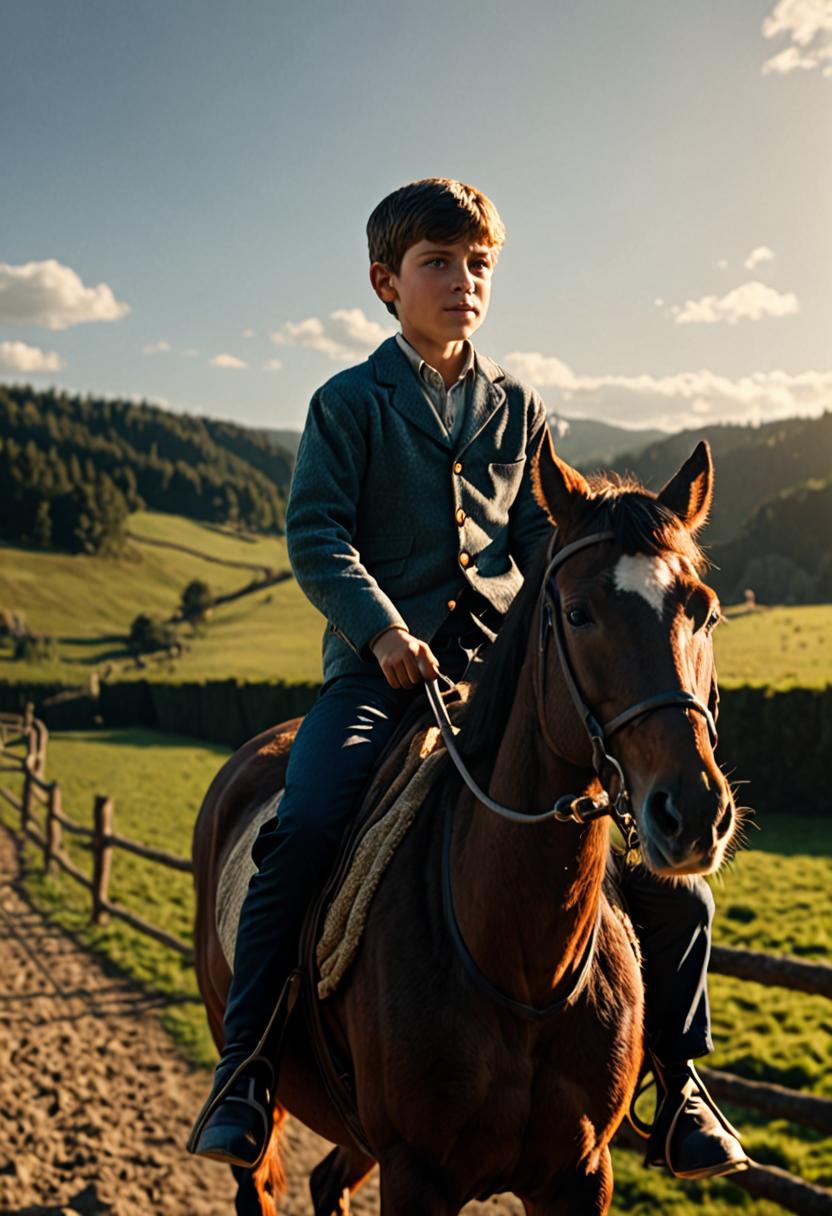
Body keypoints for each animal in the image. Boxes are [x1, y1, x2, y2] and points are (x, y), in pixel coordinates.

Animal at [192, 437, 739, 1216]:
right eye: (578, 614)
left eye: (706, 613)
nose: (692, 812)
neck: (523, 967)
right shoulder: (416, 1173)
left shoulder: (580, 1174)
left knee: (327, 1183)